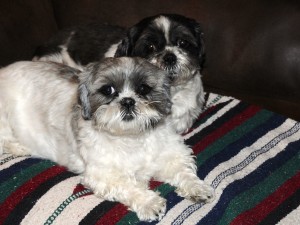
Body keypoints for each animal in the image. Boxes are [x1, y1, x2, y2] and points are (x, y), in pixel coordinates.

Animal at [1, 57, 214, 222]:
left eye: (143, 89)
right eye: (108, 90)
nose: (128, 101)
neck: (132, 138)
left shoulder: (171, 155)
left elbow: (183, 171)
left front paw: (197, 187)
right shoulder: (103, 174)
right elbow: (129, 185)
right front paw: (149, 202)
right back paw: (20, 147)